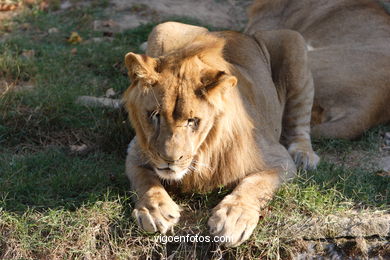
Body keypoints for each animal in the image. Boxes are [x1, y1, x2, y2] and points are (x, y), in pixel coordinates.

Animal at [122, 21, 320, 246]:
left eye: (192, 121)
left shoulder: (279, 160)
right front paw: (154, 211)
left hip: (292, 41)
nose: (170, 160)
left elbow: (255, 184)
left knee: (300, 122)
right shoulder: (135, 151)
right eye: (154, 115)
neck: (203, 152)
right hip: (164, 27)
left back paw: (304, 155)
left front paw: (233, 218)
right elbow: (143, 179)